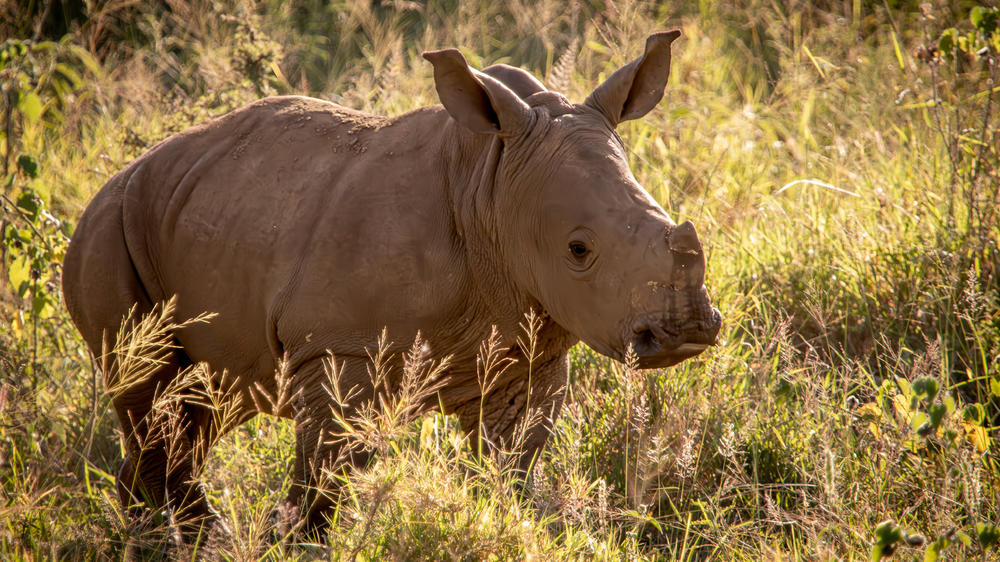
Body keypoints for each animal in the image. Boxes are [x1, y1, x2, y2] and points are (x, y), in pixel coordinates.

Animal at [63, 30, 720, 536]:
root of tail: (113, 180)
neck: (490, 183)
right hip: (109, 228)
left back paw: (181, 535)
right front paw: (301, 541)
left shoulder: (527, 356)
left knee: (201, 404)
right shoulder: (337, 345)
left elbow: (509, 468)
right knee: (151, 391)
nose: (685, 332)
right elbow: (325, 478)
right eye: (578, 250)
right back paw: (183, 537)